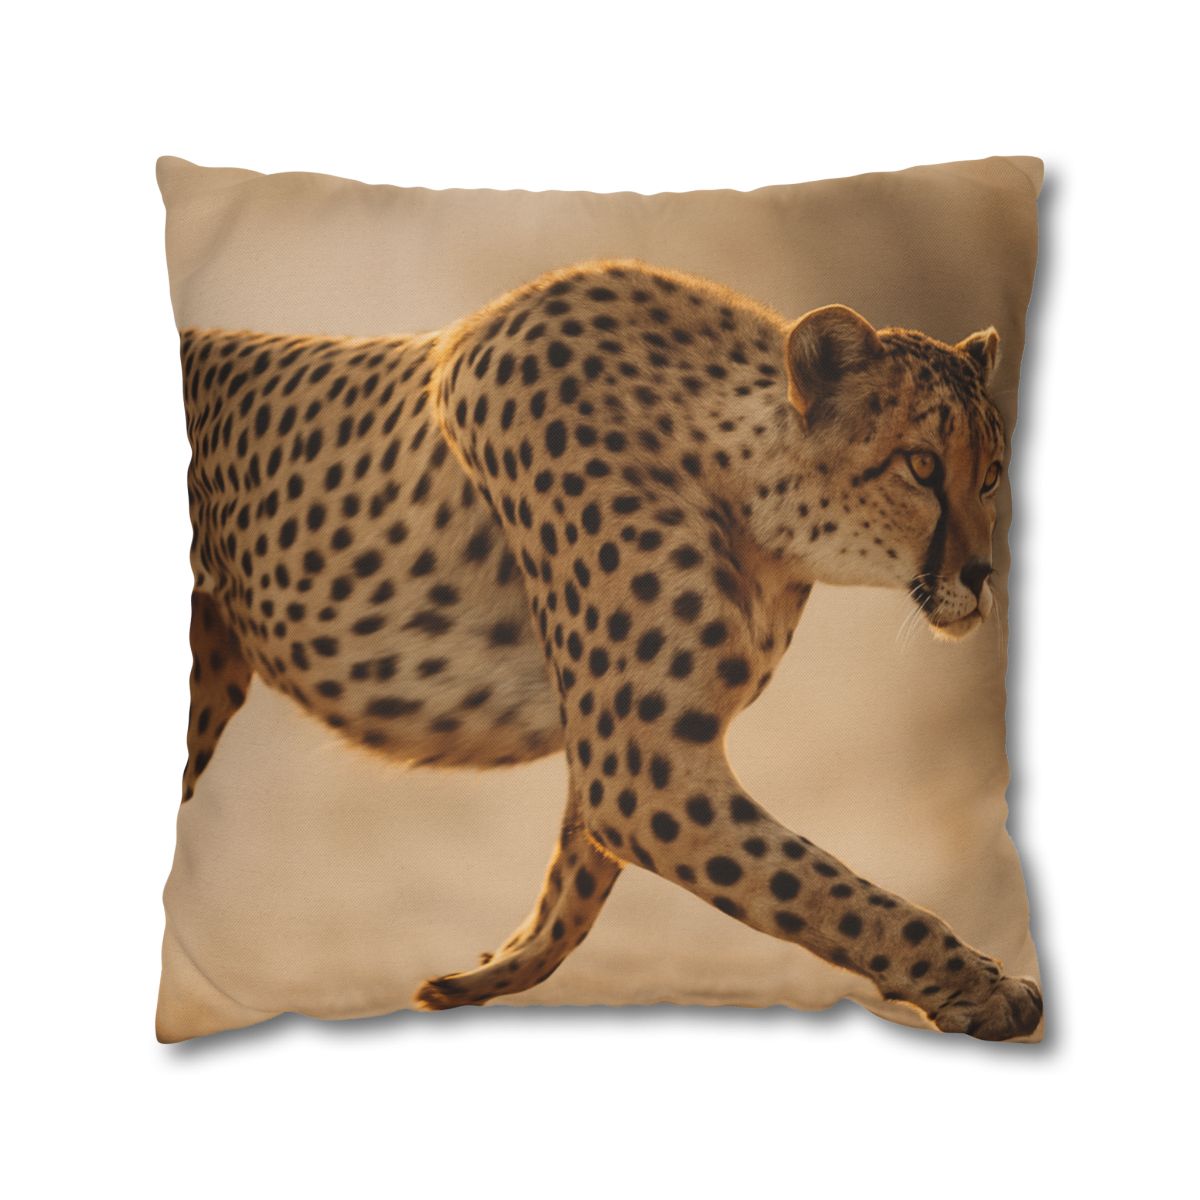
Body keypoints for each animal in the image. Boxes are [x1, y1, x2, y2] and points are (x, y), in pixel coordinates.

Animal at [178, 259, 1042, 1041]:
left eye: (994, 474)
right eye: (922, 466)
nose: (982, 575)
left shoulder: (619, 750)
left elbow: (577, 881)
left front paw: (481, 975)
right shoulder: (640, 769)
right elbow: (826, 890)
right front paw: (982, 986)